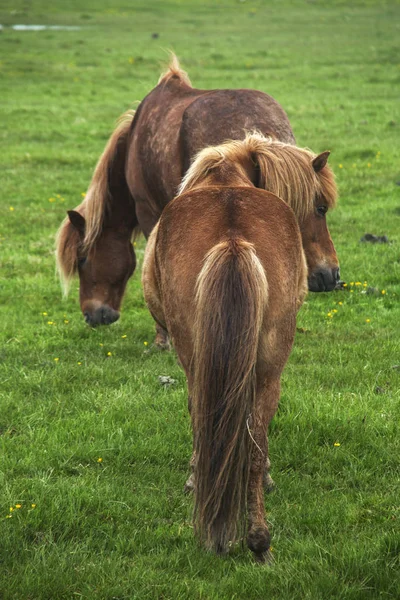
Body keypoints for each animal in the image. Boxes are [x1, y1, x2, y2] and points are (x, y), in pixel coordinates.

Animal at [142, 134, 336, 560]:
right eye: (320, 206)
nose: (331, 274)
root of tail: (232, 239)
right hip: (266, 368)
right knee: (253, 441)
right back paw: (258, 537)